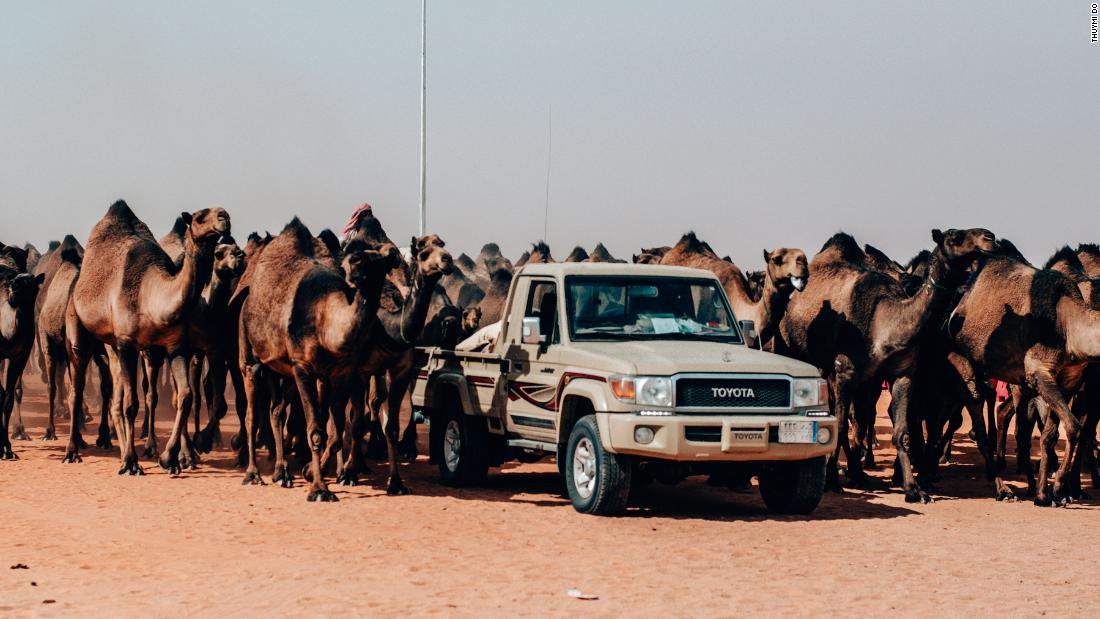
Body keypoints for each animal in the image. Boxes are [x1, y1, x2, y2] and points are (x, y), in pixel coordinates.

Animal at [63, 201, 231, 472]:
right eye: (199, 217)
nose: (224, 216)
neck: (151, 296)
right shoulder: (128, 343)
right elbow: (132, 405)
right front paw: (132, 463)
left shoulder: (175, 347)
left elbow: (185, 397)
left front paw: (168, 458)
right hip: (78, 330)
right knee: (76, 391)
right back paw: (72, 451)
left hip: (112, 346)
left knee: (115, 399)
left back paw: (120, 450)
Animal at [236, 219, 400, 501]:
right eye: (357, 258)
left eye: (384, 262)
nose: (359, 278)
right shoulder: (303, 367)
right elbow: (315, 430)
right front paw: (320, 489)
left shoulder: (341, 372)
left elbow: (334, 430)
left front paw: (312, 473)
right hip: (250, 356)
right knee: (252, 413)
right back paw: (253, 474)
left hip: (280, 369)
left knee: (276, 411)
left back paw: (282, 473)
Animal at [778, 228, 1003, 503]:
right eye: (954, 237)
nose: (989, 237)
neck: (883, 324)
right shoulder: (844, 371)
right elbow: (840, 426)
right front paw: (832, 482)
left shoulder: (901, 373)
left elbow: (902, 432)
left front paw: (913, 489)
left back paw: (859, 473)